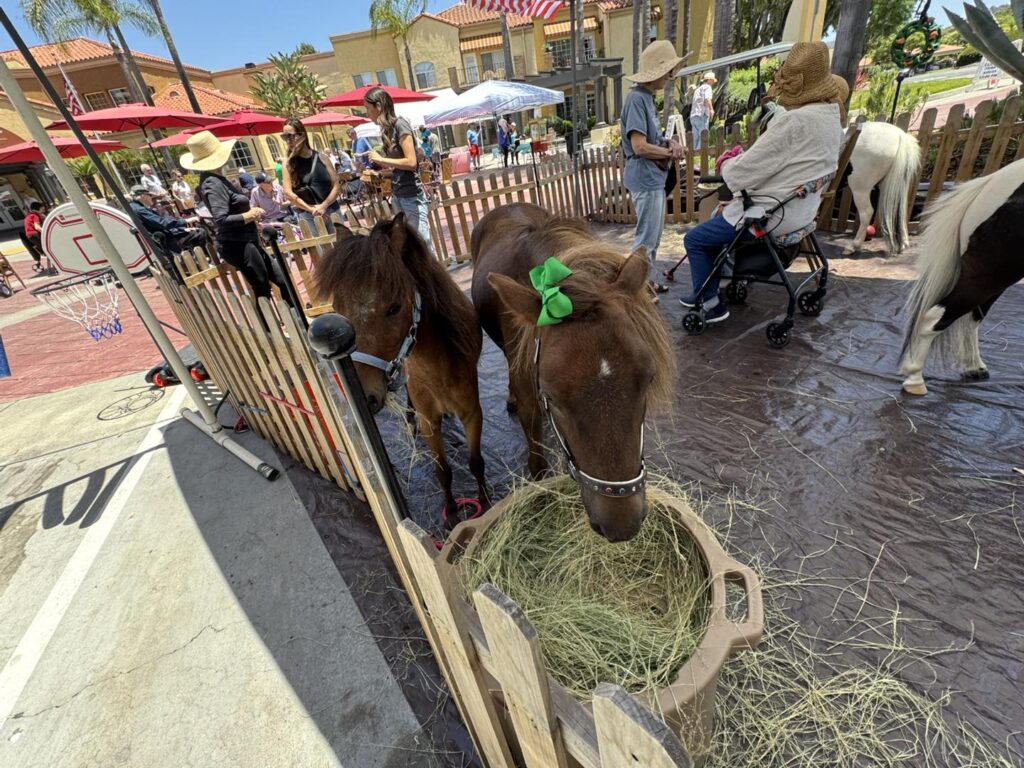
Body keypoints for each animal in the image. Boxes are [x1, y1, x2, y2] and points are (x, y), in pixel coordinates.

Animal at [312, 214, 489, 521]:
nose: (365, 396)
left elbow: (476, 462)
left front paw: (485, 499)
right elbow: (443, 471)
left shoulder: (472, 413)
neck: (438, 370)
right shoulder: (429, 419)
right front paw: (451, 513)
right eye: (339, 309)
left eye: (394, 308)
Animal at [899, 157, 1024, 395]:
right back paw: (915, 379)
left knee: (971, 316)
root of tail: (988, 183)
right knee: (936, 316)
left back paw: (973, 367)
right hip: (992, 273)